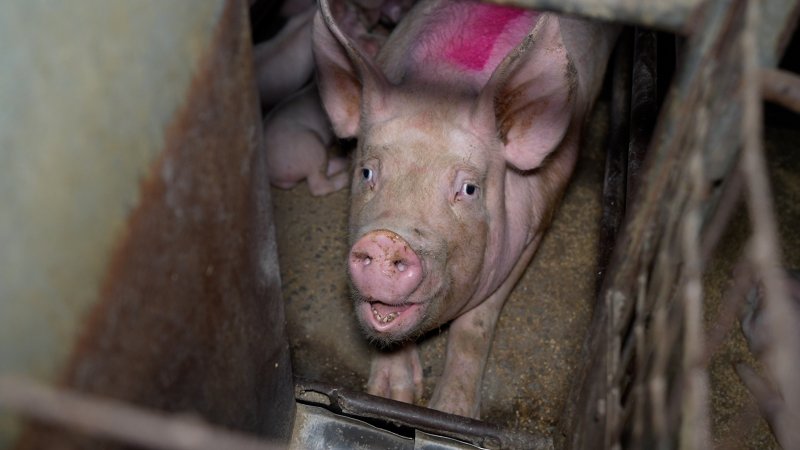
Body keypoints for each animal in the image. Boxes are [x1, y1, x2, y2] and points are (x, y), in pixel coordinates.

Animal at [310, 0, 616, 418]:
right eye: (367, 172)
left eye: (469, 189)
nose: (387, 240)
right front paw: (392, 397)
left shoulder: (533, 228)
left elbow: (474, 326)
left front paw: (450, 413)